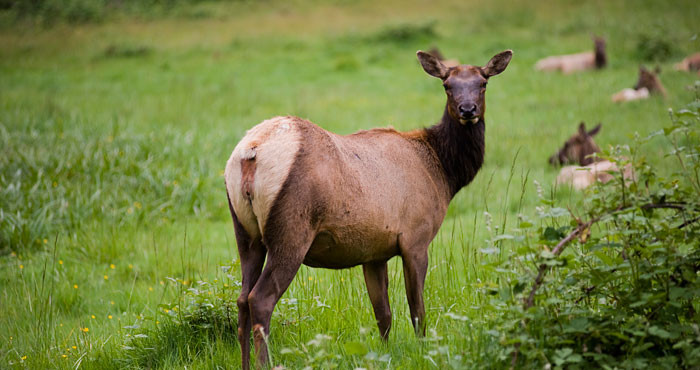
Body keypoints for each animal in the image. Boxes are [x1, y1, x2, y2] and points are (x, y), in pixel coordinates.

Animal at [226, 49, 516, 370]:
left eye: (482, 83)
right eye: (447, 85)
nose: (467, 109)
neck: (443, 172)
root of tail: (251, 151)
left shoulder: (374, 252)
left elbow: (383, 315)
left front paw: (383, 355)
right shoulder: (416, 238)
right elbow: (417, 310)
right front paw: (424, 352)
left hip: (246, 233)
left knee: (241, 299)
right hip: (291, 230)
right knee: (260, 299)